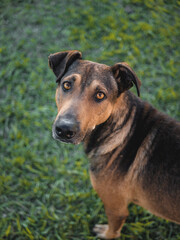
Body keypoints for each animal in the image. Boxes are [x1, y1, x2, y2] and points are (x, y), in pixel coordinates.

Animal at [48, 50, 180, 238]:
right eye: (66, 85)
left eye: (100, 95)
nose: (64, 129)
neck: (121, 129)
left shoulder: (116, 209)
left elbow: (113, 231)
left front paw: (105, 233)